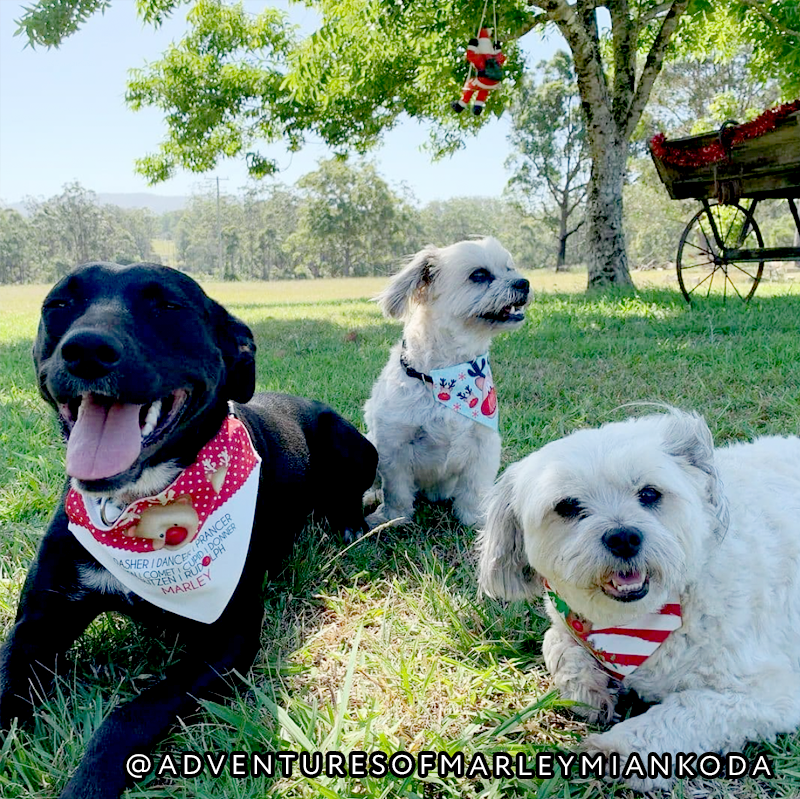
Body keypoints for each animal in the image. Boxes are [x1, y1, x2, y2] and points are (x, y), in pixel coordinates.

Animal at [0, 266, 378, 799]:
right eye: (59, 303)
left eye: (168, 306)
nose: (87, 349)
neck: (140, 506)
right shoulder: (37, 623)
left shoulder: (229, 639)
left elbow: (132, 713)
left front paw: (88, 783)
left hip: (350, 442)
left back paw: (347, 526)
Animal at [364, 241, 528, 536]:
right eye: (479, 274)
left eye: (509, 268)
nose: (524, 282)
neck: (447, 374)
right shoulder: (394, 444)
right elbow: (397, 490)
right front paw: (392, 518)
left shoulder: (483, 444)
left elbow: (474, 490)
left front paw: (475, 519)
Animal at [478, 410, 800, 792]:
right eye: (567, 506)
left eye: (649, 493)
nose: (623, 537)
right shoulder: (564, 623)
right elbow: (556, 645)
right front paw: (590, 689)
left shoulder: (762, 693)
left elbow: (685, 711)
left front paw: (617, 748)